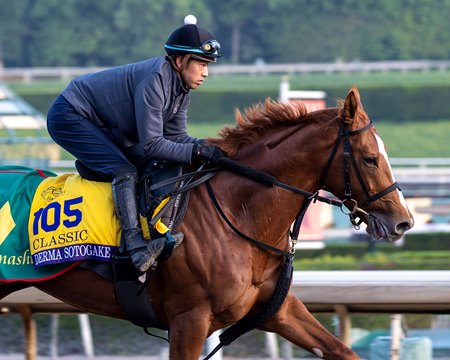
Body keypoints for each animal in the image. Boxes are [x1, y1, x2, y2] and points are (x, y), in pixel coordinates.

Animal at [0, 86, 414, 358]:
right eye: (370, 159)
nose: (403, 222)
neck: (236, 213)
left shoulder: (278, 310)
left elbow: (342, 350)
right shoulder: (189, 321)